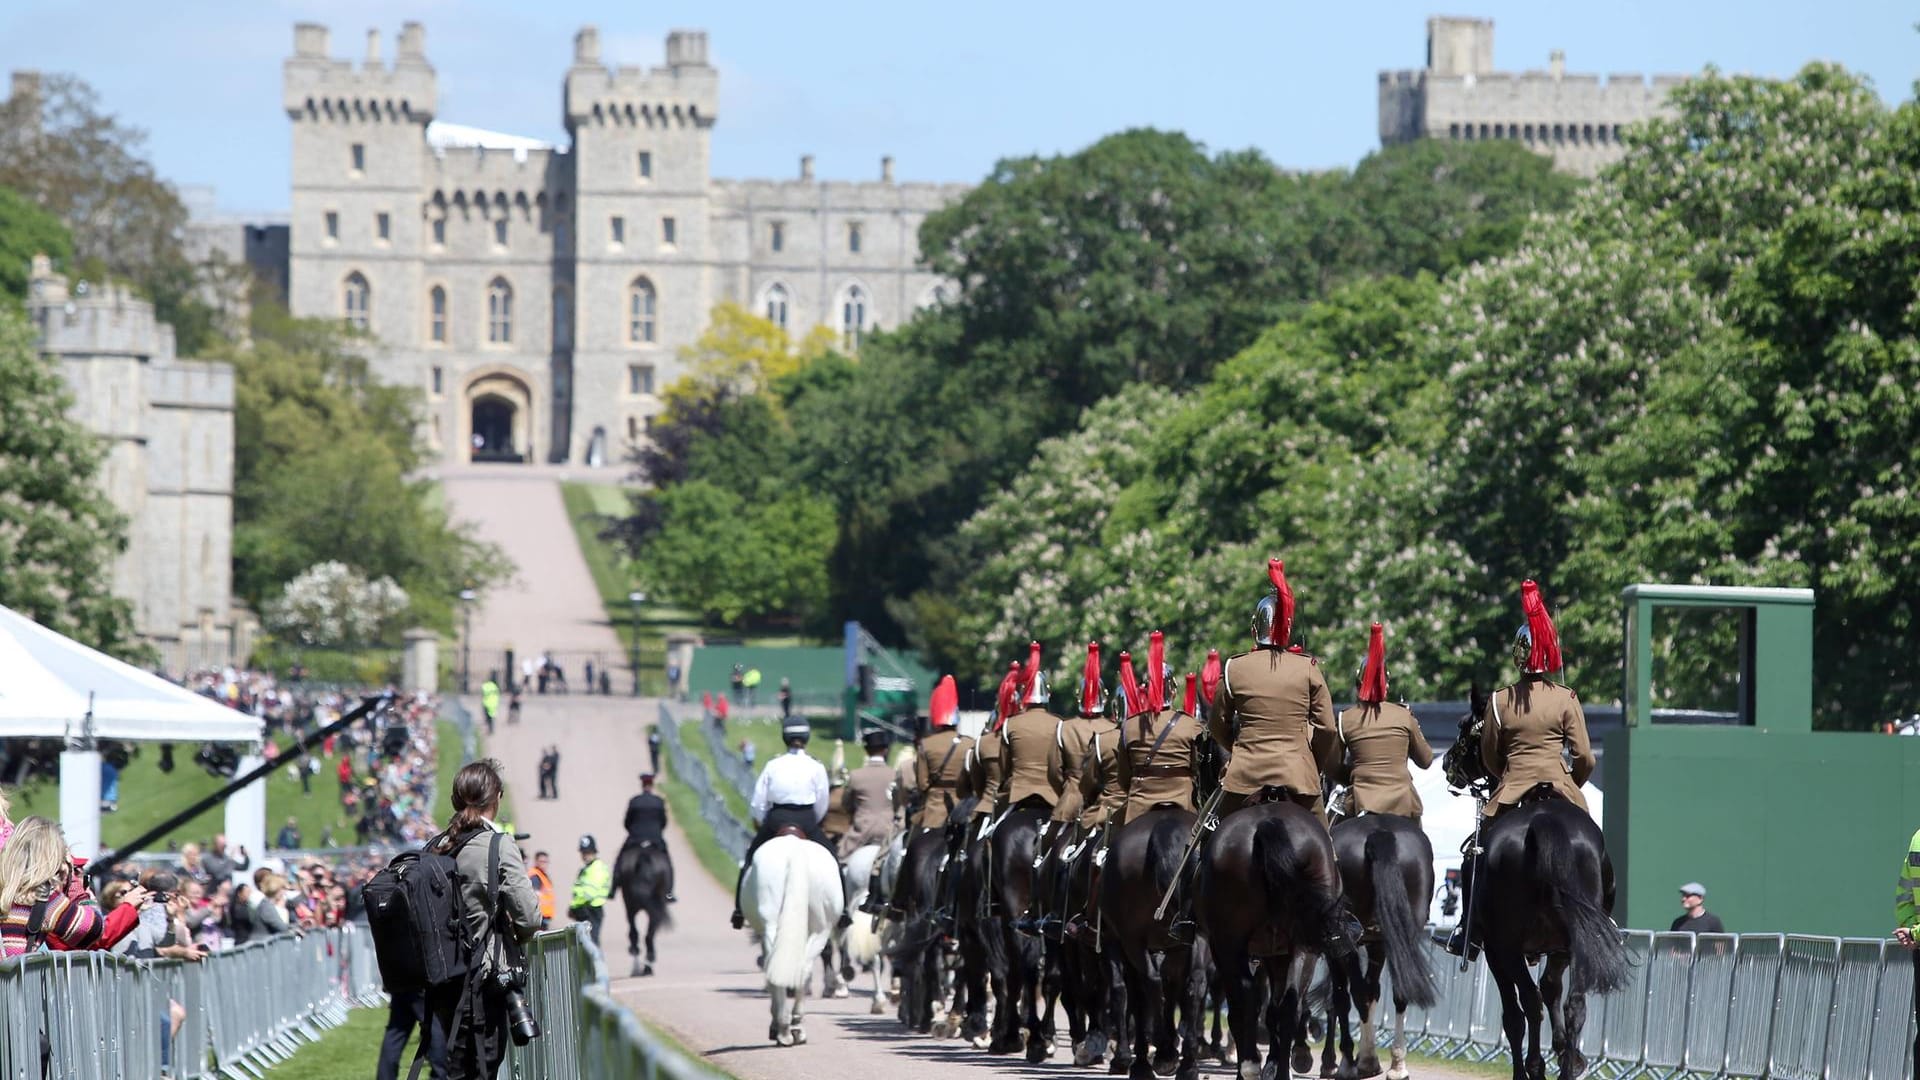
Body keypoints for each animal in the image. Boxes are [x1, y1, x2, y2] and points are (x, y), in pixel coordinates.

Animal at [741, 834, 848, 1045]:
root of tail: (795, 852)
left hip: (774, 926)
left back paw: (783, 1027)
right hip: (819, 931)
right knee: (803, 969)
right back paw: (793, 1026)